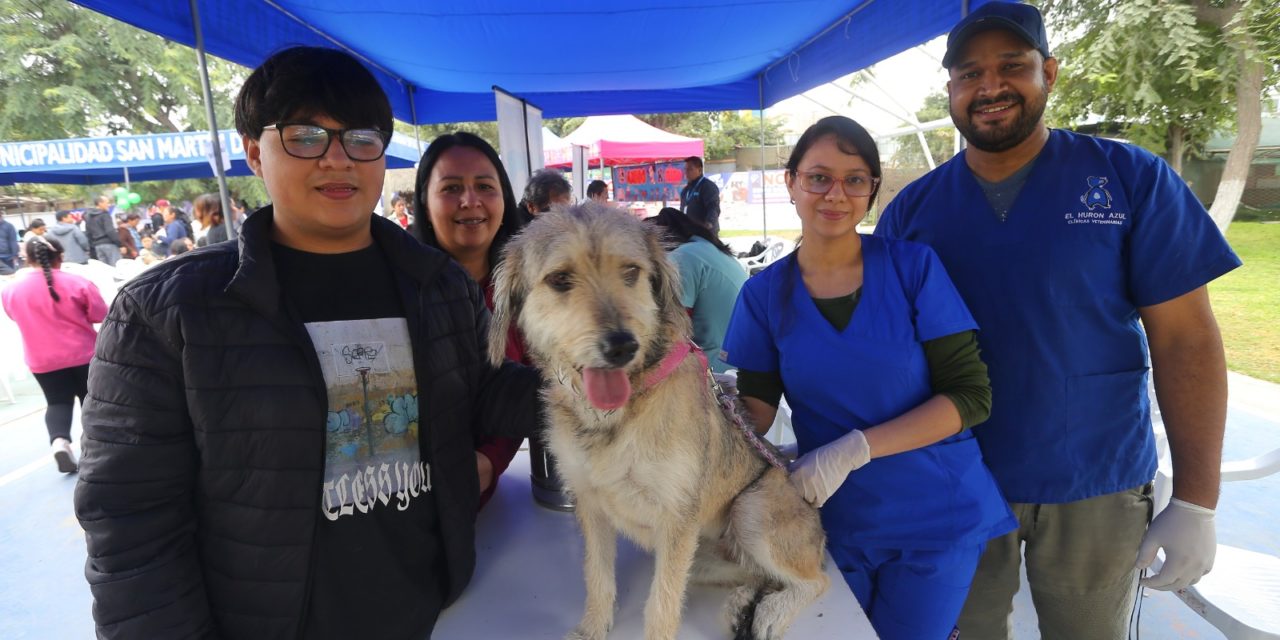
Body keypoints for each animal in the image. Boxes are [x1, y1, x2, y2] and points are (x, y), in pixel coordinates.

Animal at [486, 204, 829, 640]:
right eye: (560, 279)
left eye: (631, 272)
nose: (621, 346)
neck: (615, 418)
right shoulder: (592, 506)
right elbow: (598, 577)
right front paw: (592, 628)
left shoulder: (675, 521)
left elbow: (662, 605)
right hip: (703, 558)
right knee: (757, 573)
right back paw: (743, 606)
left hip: (750, 510)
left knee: (816, 579)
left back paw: (771, 612)